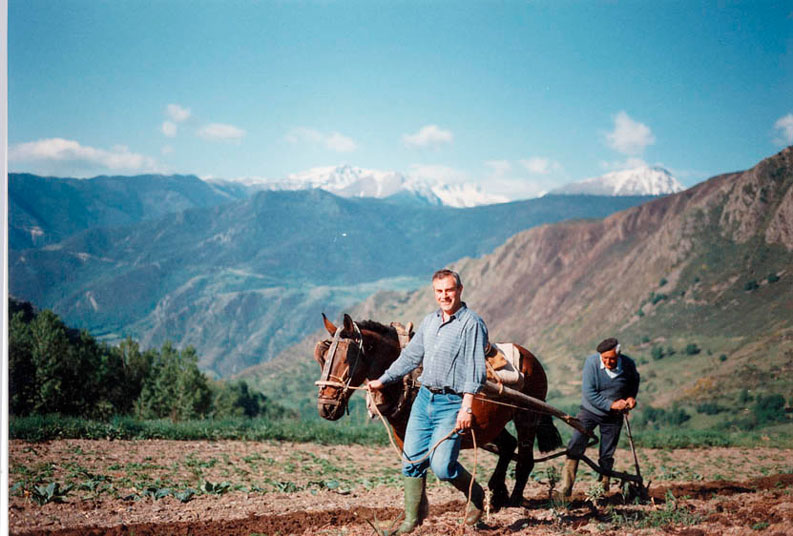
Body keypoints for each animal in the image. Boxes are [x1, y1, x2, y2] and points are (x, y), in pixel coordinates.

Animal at [312, 312, 560, 508]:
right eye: (322, 358)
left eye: (347, 358)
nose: (326, 407)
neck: (409, 379)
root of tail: (529, 357)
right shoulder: (404, 437)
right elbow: (414, 469)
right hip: (492, 423)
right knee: (508, 446)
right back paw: (498, 493)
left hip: (527, 415)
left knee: (525, 459)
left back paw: (515, 501)